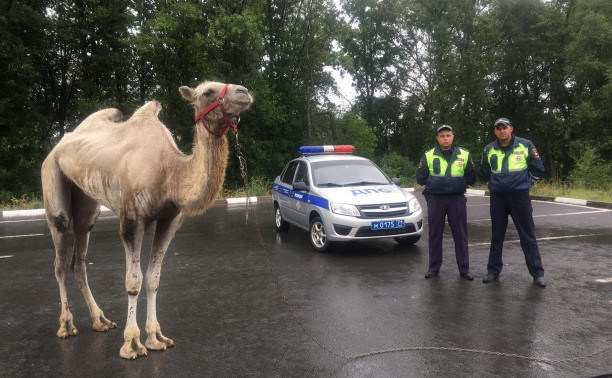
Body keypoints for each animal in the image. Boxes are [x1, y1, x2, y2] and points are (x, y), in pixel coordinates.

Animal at [42, 81, 253, 358]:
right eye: (207, 91)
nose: (244, 92)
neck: (170, 173)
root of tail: (58, 146)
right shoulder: (132, 220)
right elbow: (134, 282)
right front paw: (131, 343)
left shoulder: (170, 220)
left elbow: (153, 279)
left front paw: (155, 338)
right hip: (52, 180)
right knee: (59, 254)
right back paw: (66, 325)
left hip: (86, 203)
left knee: (79, 258)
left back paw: (101, 320)